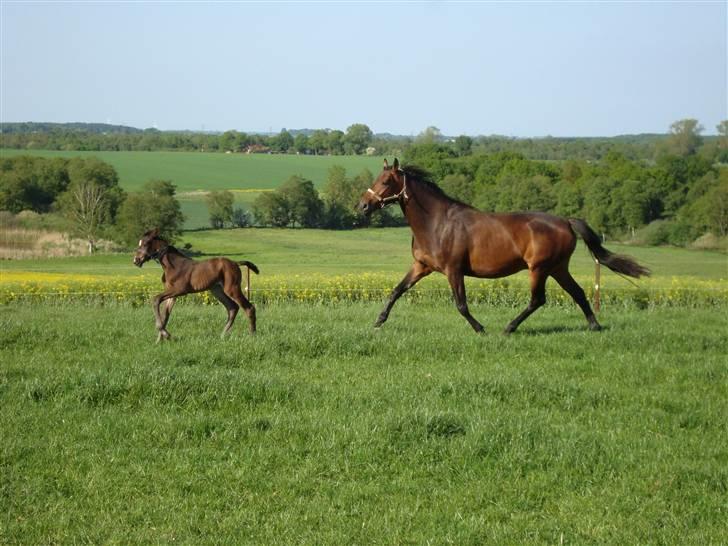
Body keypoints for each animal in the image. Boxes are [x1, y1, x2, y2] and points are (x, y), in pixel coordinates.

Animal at [362, 158, 652, 332]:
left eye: (386, 181)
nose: (363, 205)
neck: (436, 223)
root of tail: (566, 221)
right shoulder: (421, 266)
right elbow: (396, 290)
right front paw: (378, 322)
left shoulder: (454, 270)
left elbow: (461, 304)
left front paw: (480, 329)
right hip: (558, 268)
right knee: (578, 293)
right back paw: (594, 326)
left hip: (539, 269)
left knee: (538, 299)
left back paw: (509, 328)